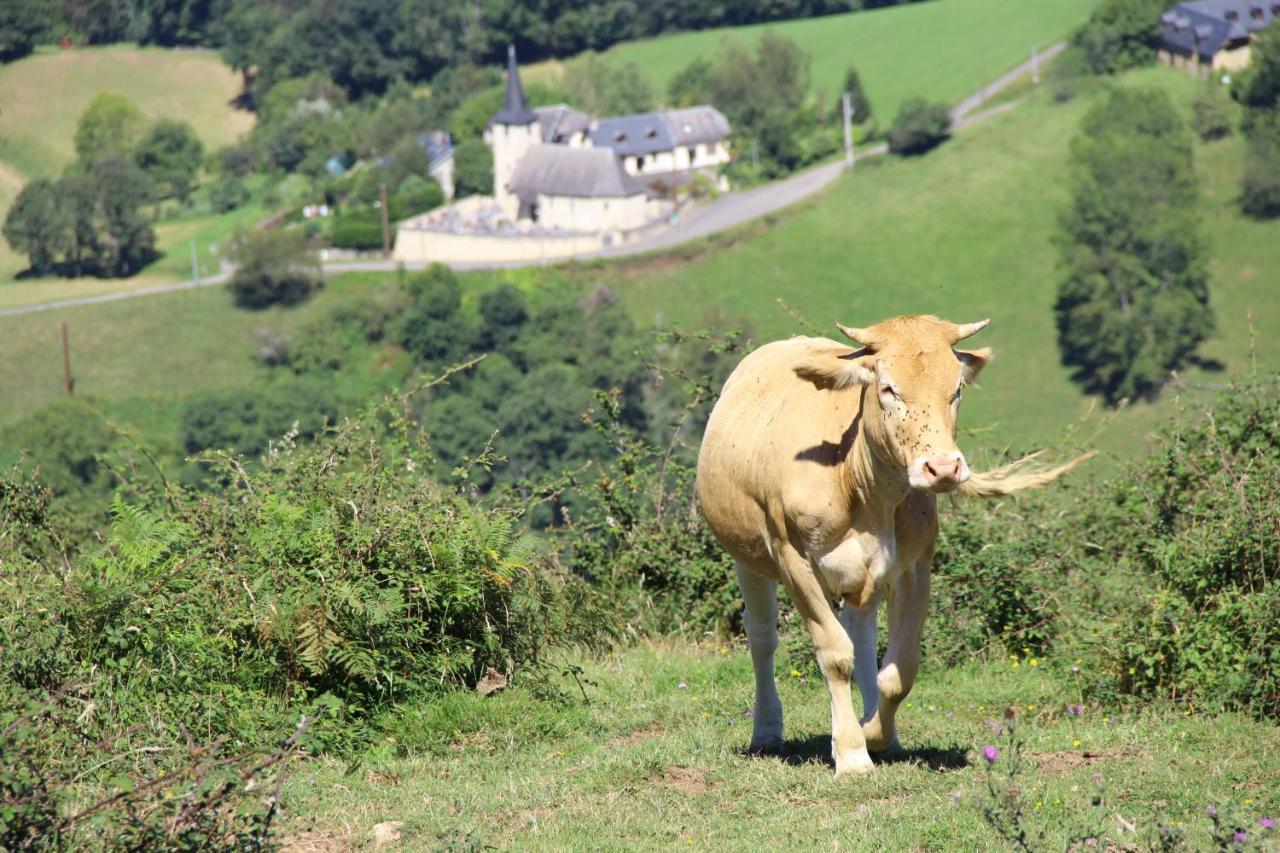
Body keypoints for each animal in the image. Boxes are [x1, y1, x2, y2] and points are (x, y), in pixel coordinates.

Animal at [701, 313, 1090, 778]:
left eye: (956, 389)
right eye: (888, 388)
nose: (943, 467)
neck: (861, 485)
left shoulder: (914, 566)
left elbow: (900, 668)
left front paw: (873, 731)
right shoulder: (794, 561)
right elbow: (834, 654)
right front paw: (852, 754)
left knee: (863, 635)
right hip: (750, 559)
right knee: (763, 636)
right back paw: (766, 730)